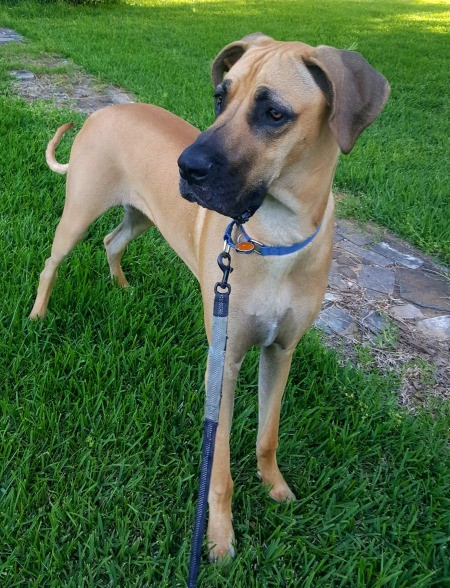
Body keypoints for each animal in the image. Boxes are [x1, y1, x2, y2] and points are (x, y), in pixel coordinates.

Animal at [30, 35, 390, 560]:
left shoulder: (281, 351)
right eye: (221, 97)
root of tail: (102, 111)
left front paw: (275, 486)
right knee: (51, 263)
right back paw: (38, 315)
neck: (276, 236)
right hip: (78, 212)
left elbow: (268, 434)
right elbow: (217, 466)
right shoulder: (225, 361)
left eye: (274, 114)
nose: (186, 167)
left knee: (112, 242)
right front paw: (219, 537)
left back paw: (122, 286)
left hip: (140, 216)